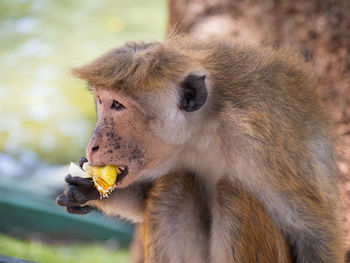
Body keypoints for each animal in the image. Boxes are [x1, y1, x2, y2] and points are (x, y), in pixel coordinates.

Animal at [56, 35, 344, 263]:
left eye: (117, 105)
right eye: (100, 100)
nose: (92, 145)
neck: (204, 129)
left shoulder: (262, 148)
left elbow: (314, 235)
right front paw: (86, 189)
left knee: (231, 195)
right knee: (174, 187)